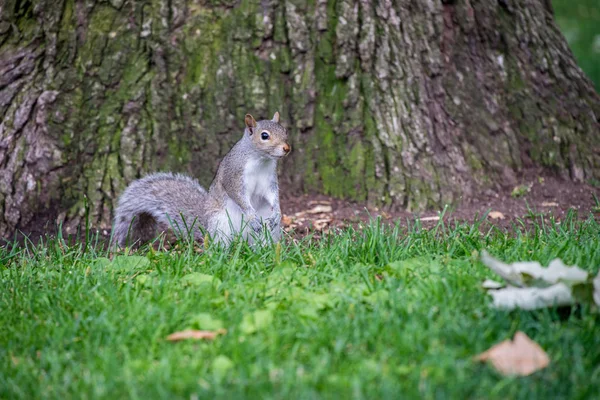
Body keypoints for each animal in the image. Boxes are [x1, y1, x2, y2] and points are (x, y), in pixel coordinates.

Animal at [113, 112, 292, 247]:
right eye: (264, 136)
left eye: (285, 131)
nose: (287, 148)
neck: (260, 160)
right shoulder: (233, 176)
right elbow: (238, 196)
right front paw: (250, 216)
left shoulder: (269, 180)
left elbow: (273, 195)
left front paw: (277, 212)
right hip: (220, 225)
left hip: (268, 228)